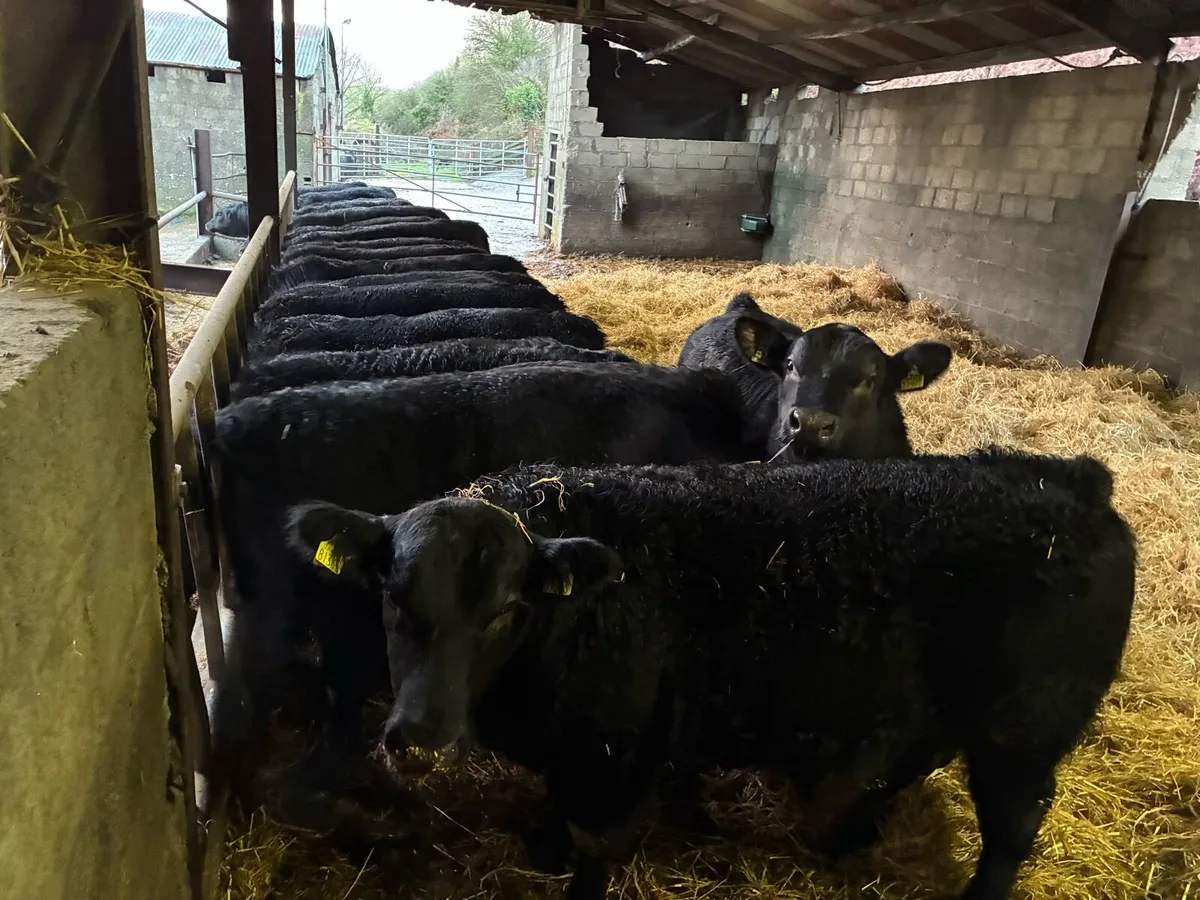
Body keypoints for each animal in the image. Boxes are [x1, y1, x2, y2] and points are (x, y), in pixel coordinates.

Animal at [283, 449, 1135, 900]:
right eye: (393, 594)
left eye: (501, 611)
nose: (421, 737)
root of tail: (1066, 479)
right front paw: (544, 845)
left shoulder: (626, 753)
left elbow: (598, 844)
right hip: (939, 710)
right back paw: (847, 833)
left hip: (1023, 731)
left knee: (1013, 824)